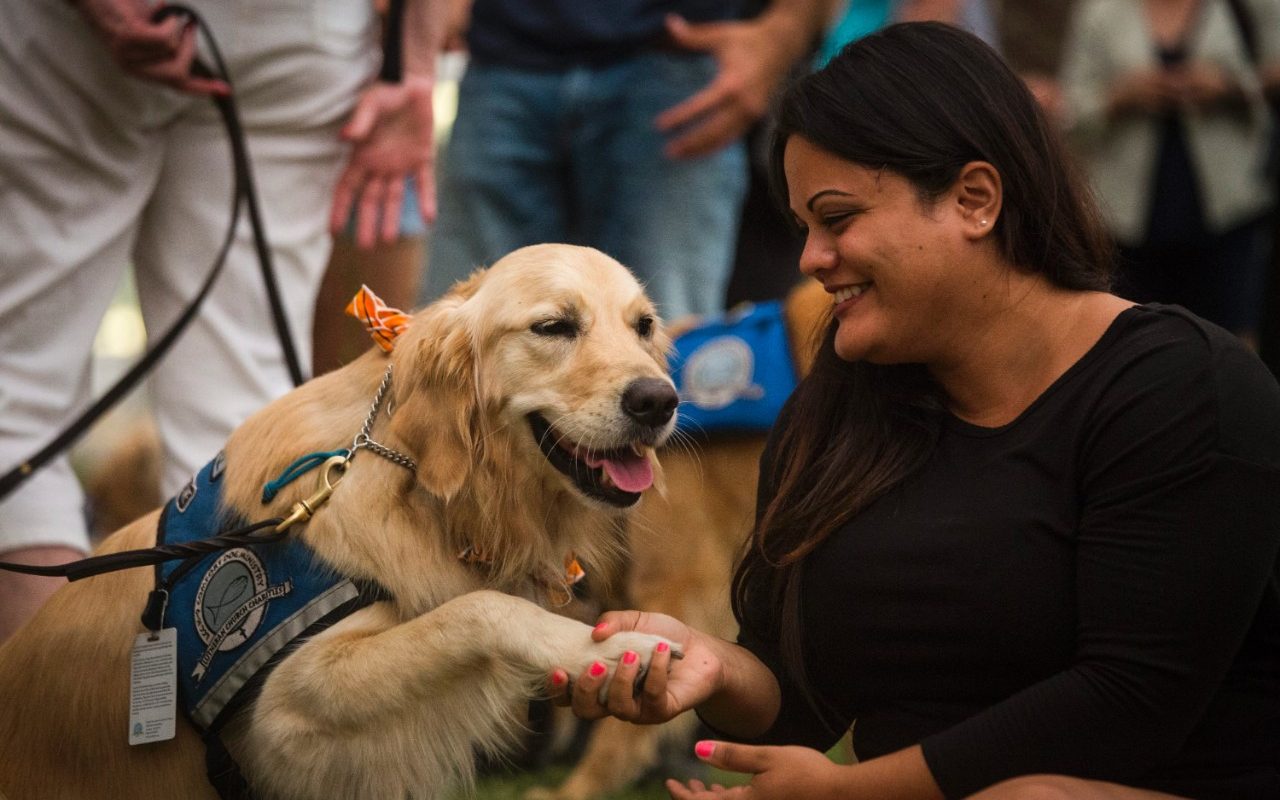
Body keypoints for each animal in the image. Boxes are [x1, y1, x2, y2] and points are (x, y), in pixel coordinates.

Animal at [0, 243, 686, 798]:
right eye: (553, 326)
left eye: (644, 325)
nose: (659, 401)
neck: (420, 485)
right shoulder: (287, 704)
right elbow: (480, 609)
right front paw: (620, 647)